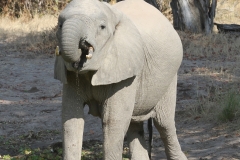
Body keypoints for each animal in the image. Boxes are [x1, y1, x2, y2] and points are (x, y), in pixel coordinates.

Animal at [54, 0, 188, 159]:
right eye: (59, 25)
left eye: (102, 27)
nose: (83, 44)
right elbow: (71, 118)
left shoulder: (125, 73)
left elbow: (112, 122)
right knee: (134, 124)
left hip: (170, 77)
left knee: (163, 123)